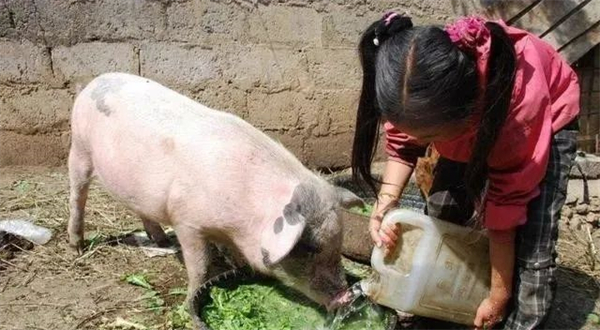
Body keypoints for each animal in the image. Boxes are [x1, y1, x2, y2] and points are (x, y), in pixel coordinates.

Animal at [67, 72, 364, 328]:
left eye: (339, 242)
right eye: (310, 247)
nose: (346, 296)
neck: (241, 217)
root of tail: (95, 81)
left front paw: (237, 267)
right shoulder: (187, 222)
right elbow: (200, 267)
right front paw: (190, 301)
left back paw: (161, 241)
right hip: (79, 148)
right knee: (77, 195)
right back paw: (77, 246)